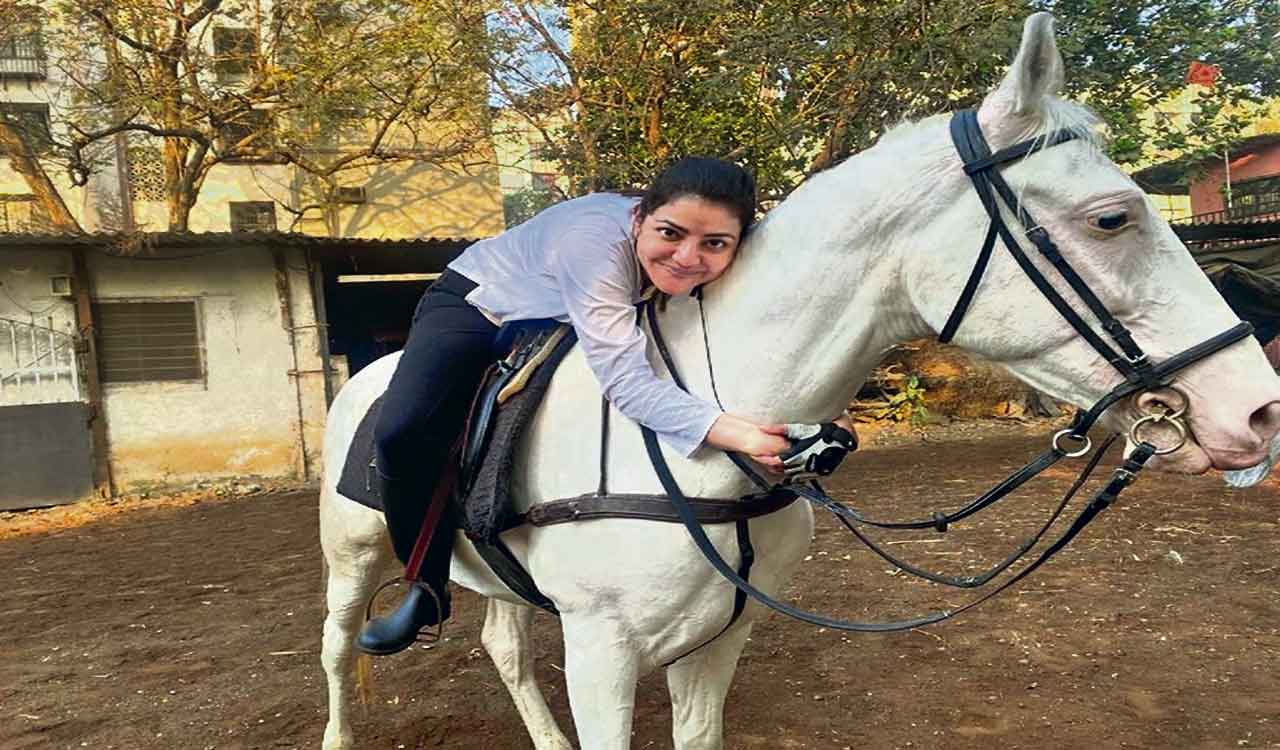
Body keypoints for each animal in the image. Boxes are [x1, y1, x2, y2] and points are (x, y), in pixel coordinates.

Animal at [318, 13, 1280, 749]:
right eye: (1113, 218)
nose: (1260, 410)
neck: (698, 444)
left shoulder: (719, 639)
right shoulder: (601, 655)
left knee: (504, 645)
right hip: (352, 555)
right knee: (337, 646)